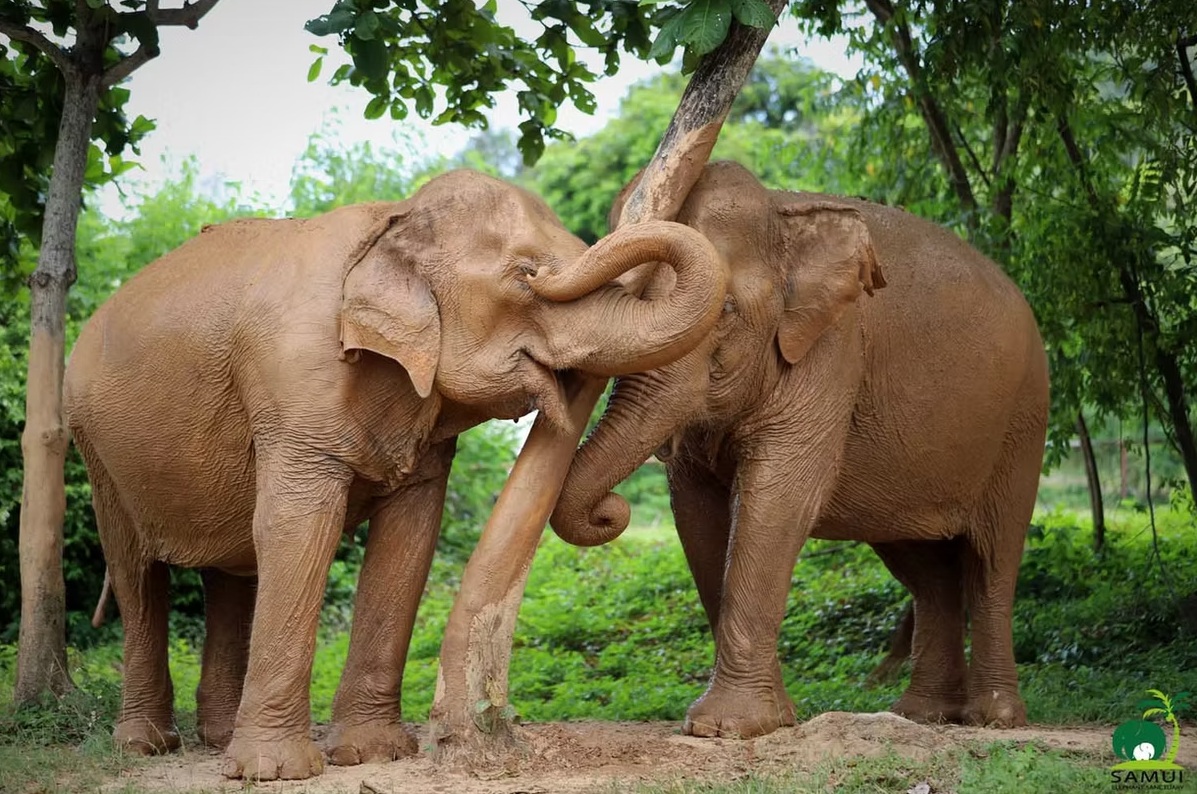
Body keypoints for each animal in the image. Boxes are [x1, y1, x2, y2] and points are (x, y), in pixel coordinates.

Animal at [63, 169, 726, 780]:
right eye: (524, 275)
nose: (614, 511)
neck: (393, 218)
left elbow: (409, 538)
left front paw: (371, 754)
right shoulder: (295, 383)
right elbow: (295, 529)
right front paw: (277, 772)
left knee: (229, 574)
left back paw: (217, 738)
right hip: (96, 447)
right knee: (136, 573)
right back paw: (147, 745)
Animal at [550, 161, 1049, 739]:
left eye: (724, 312)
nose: (611, 511)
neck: (780, 213)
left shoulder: (832, 349)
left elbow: (780, 499)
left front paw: (726, 728)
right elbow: (696, 513)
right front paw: (766, 721)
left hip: (1022, 423)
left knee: (992, 561)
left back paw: (994, 719)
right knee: (926, 570)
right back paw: (923, 715)